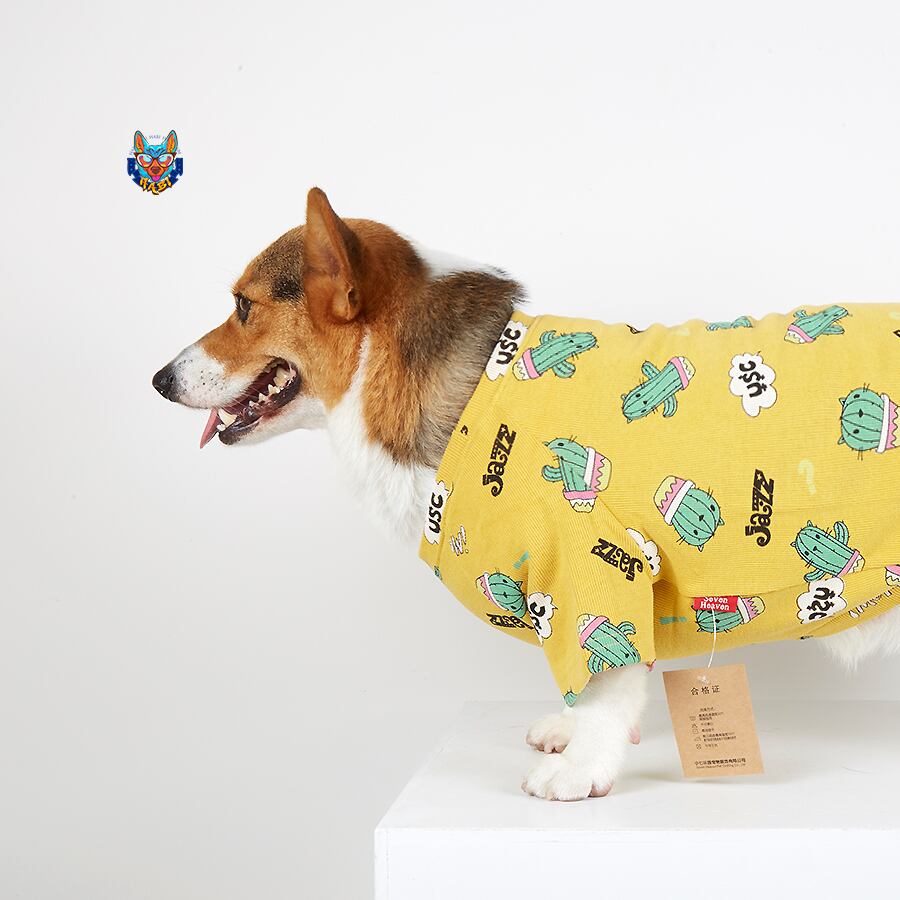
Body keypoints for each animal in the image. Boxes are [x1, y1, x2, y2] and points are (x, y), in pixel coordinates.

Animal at [153, 187, 900, 801]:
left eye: (244, 306)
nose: (159, 379)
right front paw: (568, 735)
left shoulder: (594, 568)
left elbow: (605, 682)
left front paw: (581, 768)